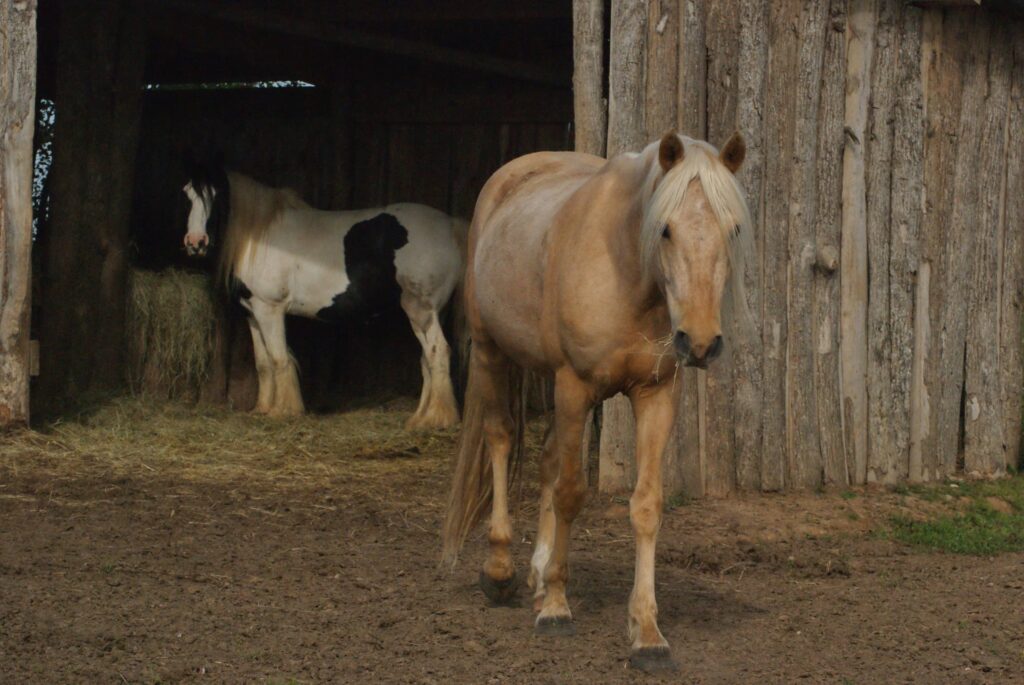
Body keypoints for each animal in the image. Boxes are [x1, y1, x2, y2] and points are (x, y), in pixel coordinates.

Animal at [183, 163, 464, 427]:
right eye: (186, 194)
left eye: (216, 194)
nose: (196, 242)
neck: (259, 236)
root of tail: (451, 225)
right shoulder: (253, 313)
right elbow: (263, 363)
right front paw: (262, 409)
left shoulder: (269, 309)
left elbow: (279, 358)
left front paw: (283, 411)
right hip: (435, 312)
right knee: (427, 359)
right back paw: (420, 417)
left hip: (420, 310)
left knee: (437, 352)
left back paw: (436, 419)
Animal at [442, 132, 753, 667]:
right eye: (665, 229)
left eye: (731, 229)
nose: (700, 342)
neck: (628, 271)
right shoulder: (574, 385)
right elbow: (570, 493)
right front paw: (557, 609)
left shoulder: (655, 395)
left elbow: (646, 506)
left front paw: (647, 632)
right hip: (490, 353)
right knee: (500, 440)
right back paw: (501, 569)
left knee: (547, 459)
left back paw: (537, 573)